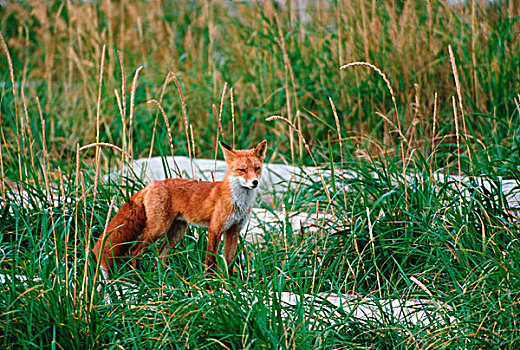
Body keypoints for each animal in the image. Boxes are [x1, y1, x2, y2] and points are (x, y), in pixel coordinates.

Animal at [92, 139, 268, 278]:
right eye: (242, 170)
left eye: (257, 168)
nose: (255, 182)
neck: (238, 203)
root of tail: (152, 184)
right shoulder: (215, 229)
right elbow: (210, 262)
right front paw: (211, 286)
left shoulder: (233, 231)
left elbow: (229, 263)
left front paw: (231, 286)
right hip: (158, 229)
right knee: (134, 251)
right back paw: (140, 280)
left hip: (176, 232)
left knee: (160, 256)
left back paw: (163, 282)